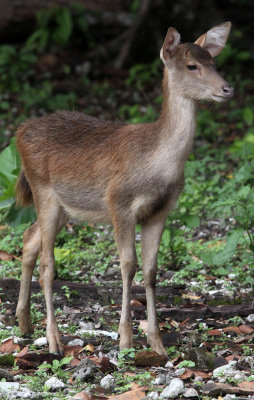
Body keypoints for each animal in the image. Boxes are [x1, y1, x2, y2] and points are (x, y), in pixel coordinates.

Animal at [15, 21, 234, 354]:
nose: (227, 89)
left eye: (214, 62)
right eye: (192, 66)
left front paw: (157, 343)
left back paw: (24, 323)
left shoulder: (161, 210)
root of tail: (19, 131)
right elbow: (128, 265)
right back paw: (53, 340)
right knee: (47, 264)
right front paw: (126, 338)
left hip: (65, 206)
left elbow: (151, 270)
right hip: (43, 190)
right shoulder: (119, 202)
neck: (156, 165)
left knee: (28, 239)